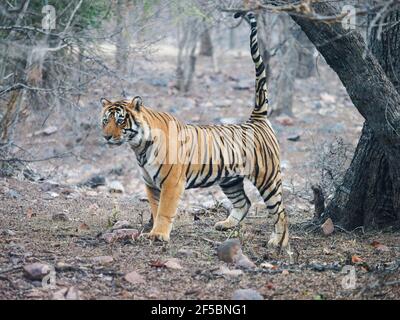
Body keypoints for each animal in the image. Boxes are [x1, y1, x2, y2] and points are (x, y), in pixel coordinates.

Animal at [99, 11, 288, 248]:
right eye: (105, 120)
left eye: (121, 120)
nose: (106, 137)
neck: (139, 146)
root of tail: (257, 119)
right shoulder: (150, 184)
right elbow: (154, 207)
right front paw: (151, 231)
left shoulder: (172, 183)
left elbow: (164, 209)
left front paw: (158, 235)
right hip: (231, 179)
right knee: (244, 202)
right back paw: (226, 225)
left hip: (268, 177)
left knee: (280, 211)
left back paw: (278, 241)